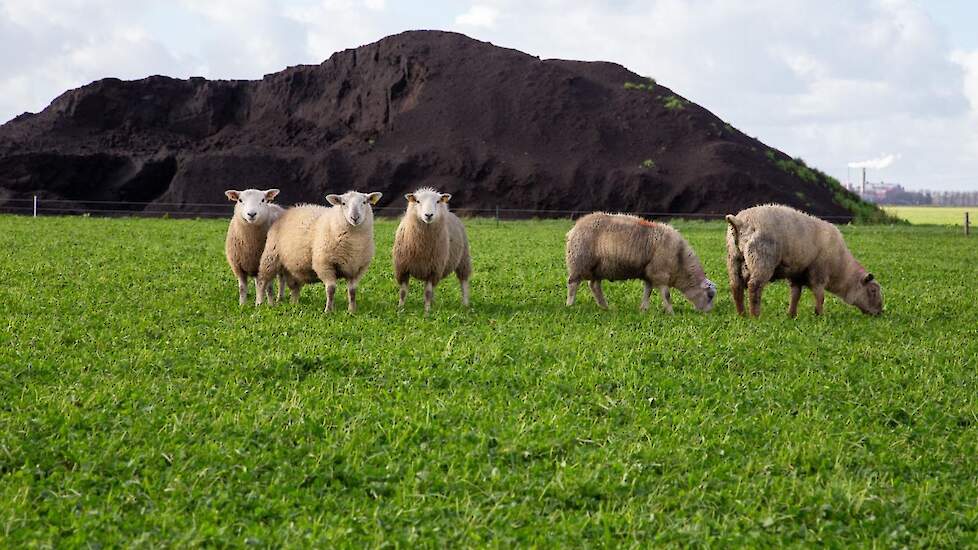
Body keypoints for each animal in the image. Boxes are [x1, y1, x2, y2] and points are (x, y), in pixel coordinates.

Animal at [560, 212, 712, 314]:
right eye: (710, 296)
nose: (708, 313)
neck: (680, 262)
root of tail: (574, 228)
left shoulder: (649, 274)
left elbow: (648, 291)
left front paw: (644, 309)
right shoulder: (659, 273)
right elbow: (666, 295)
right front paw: (671, 312)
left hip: (597, 268)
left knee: (594, 286)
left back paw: (605, 307)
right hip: (579, 261)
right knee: (573, 284)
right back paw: (570, 305)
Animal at [720, 204, 880, 316]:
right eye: (873, 291)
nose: (880, 313)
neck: (840, 268)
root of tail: (740, 222)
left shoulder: (797, 274)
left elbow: (795, 295)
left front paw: (791, 315)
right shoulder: (819, 273)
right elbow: (820, 295)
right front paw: (820, 315)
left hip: (733, 259)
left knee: (736, 287)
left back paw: (742, 314)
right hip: (761, 260)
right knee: (754, 287)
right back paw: (755, 316)